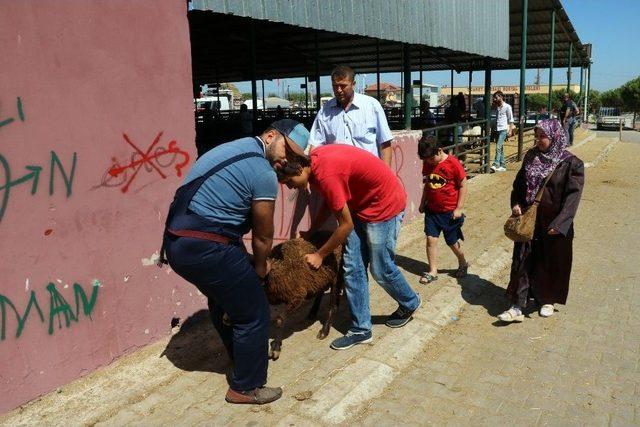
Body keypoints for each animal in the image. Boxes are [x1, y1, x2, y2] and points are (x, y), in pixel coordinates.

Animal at [262, 232, 342, 362]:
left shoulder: (297, 295)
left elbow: (280, 319)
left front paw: (276, 348)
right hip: (320, 277)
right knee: (321, 290)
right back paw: (313, 312)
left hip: (335, 275)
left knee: (333, 304)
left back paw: (324, 330)